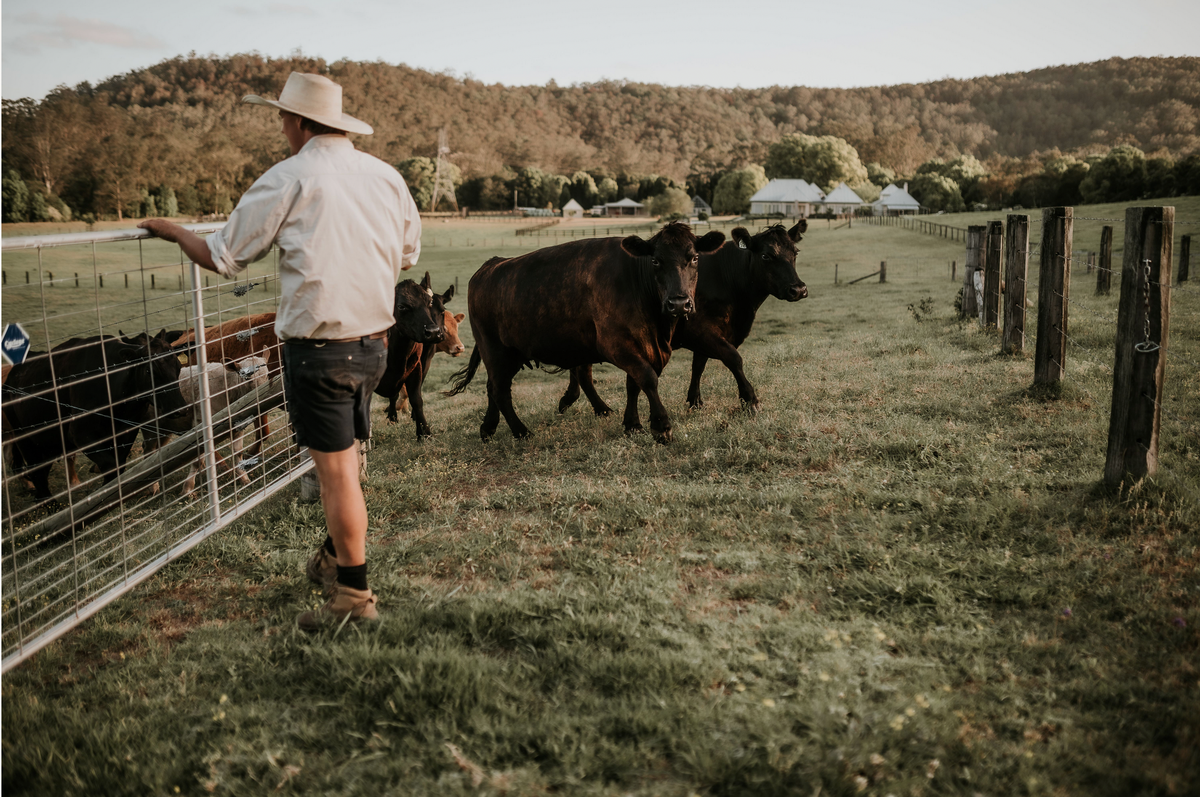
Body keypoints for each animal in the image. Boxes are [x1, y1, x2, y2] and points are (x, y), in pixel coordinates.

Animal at [2, 328, 187, 499]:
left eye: (178, 367)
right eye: (149, 371)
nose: (180, 408)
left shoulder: (127, 431)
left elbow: (119, 464)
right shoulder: (80, 434)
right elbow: (111, 466)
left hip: (48, 443)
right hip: (24, 439)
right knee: (36, 472)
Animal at [372, 272, 448, 436]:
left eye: (429, 303)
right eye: (401, 306)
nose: (433, 332)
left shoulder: (416, 368)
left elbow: (416, 400)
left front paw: (424, 432)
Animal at [451, 220, 724, 444]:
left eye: (694, 258)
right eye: (656, 260)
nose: (679, 303)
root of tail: (491, 265)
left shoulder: (640, 345)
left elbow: (633, 384)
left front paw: (632, 424)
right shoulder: (616, 344)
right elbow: (647, 378)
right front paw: (661, 426)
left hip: (508, 354)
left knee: (492, 387)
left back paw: (488, 428)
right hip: (495, 350)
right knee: (500, 390)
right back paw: (521, 432)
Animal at [559, 220, 806, 412]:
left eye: (795, 253)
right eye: (766, 255)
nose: (799, 289)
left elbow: (699, 365)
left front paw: (694, 400)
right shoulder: (700, 330)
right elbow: (733, 358)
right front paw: (750, 400)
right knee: (583, 372)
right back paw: (599, 408)